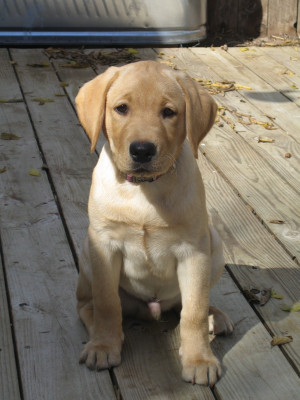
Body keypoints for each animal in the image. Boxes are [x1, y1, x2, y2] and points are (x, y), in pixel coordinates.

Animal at [75, 61, 234, 386]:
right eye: (121, 109)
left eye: (168, 112)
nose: (142, 150)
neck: (144, 190)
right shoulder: (105, 246)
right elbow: (107, 303)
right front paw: (103, 346)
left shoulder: (194, 252)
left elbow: (194, 311)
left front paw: (199, 359)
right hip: (87, 249)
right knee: (88, 304)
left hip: (214, 245)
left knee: (188, 304)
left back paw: (215, 316)